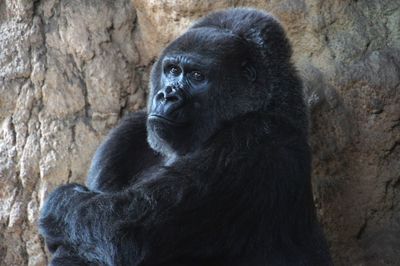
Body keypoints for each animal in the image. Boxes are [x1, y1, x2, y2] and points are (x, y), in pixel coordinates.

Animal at [38, 7, 332, 264]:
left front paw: (60, 203)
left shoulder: (254, 140)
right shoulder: (128, 132)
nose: (167, 96)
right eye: (172, 70)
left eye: (197, 75)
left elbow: (117, 231)